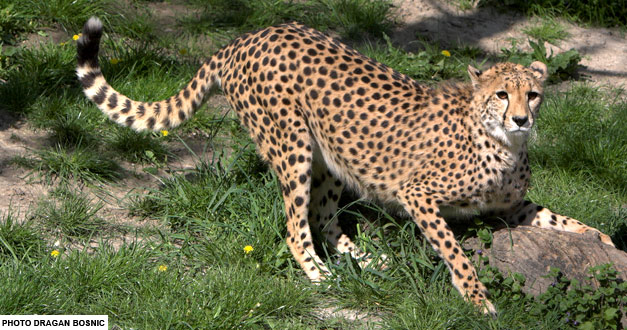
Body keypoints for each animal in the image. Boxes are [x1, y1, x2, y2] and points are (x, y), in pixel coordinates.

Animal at [77, 16, 612, 314]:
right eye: (502, 94)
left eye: (533, 94)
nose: (522, 118)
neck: (502, 143)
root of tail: (253, 34)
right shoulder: (418, 195)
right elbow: (456, 253)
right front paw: (478, 300)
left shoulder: (509, 206)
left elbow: (562, 219)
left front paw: (604, 242)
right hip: (291, 145)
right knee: (295, 227)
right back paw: (320, 275)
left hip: (329, 157)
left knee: (323, 217)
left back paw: (367, 259)